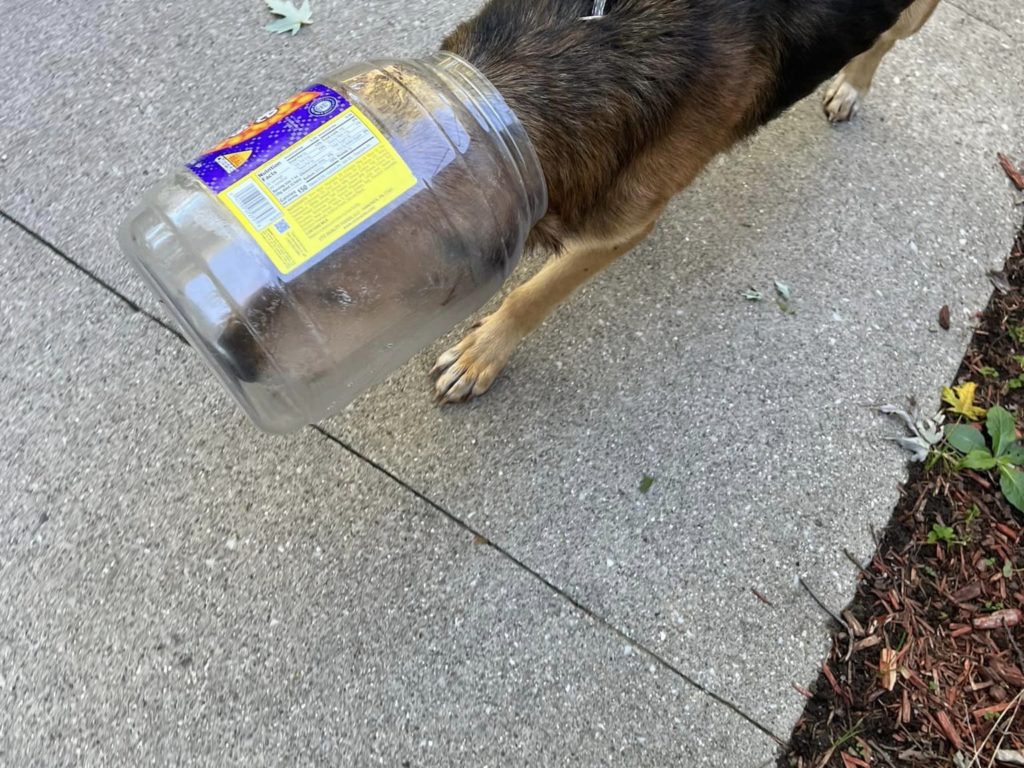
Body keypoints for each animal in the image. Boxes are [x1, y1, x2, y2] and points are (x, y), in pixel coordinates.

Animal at [428, 0, 937, 405]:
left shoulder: (621, 229)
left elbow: (532, 295)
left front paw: (483, 352)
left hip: (914, 16)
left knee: (887, 40)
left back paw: (852, 86)